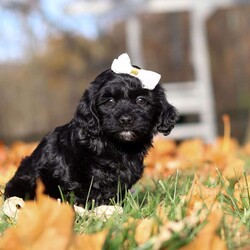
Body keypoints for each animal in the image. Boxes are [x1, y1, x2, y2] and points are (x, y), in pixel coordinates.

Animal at [4, 55, 179, 207]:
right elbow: (87, 195)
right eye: (109, 101)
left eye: (141, 101)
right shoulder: (78, 180)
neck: (116, 145)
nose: (126, 119)